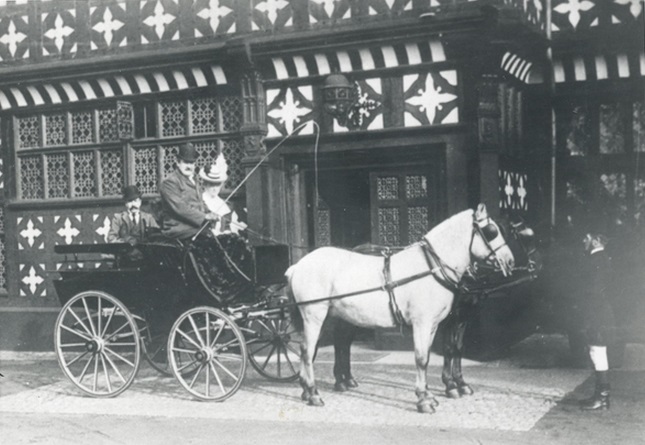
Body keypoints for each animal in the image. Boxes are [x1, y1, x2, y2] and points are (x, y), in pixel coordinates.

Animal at [286, 205, 512, 412]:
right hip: (314, 316)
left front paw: (431, 394)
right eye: (491, 231)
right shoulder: (423, 323)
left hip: (330, 316)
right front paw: (424, 399)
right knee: (308, 350)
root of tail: (298, 266)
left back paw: (312, 389)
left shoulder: (434, 325)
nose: (510, 260)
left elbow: (432, 354)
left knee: (321, 347)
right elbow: (422, 358)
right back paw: (314, 393)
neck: (431, 267)